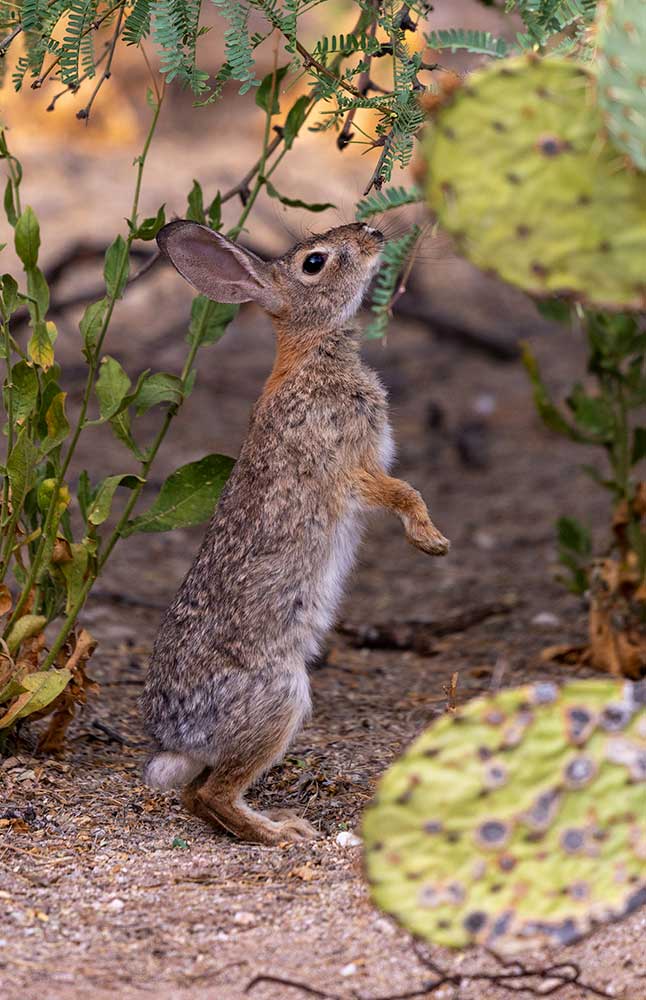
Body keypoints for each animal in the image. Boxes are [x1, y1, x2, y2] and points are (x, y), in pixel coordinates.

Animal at [140, 220, 450, 845]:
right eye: (315, 262)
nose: (373, 231)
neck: (309, 349)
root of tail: (176, 737)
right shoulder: (352, 467)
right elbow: (405, 492)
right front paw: (430, 540)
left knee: (193, 797)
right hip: (279, 700)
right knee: (212, 793)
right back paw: (283, 834)